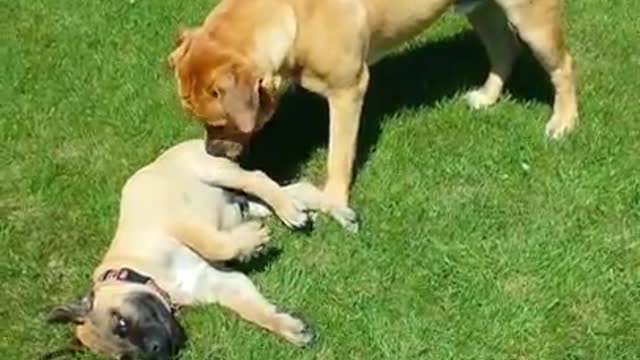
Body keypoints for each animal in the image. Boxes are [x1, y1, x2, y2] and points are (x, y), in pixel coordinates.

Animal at [45, 139, 356, 358]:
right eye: (126, 358)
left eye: (120, 323)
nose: (157, 351)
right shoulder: (222, 283)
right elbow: (253, 310)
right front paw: (288, 327)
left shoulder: (179, 223)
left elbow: (213, 244)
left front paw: (249, 242)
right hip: (250, 199)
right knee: (299, 191)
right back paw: (335, 212)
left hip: (214, 171)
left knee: (257, 178)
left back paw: (293, 214)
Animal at [168, 0, 576, 219]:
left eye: (219, 123)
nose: (210, 151)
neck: (289, 15)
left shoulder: (347, 90)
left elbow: (339, 154)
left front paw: (333, 203)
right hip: (480, 8)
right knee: (503, 46)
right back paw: (488, 96)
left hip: (531, 16)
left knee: (563, 65)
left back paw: (563, 122)